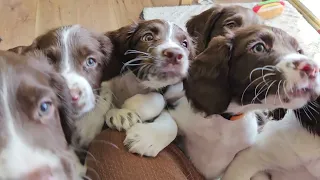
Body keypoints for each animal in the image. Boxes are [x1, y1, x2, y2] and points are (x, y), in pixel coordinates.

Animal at [102, 18, 195, 156]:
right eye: (148, 37)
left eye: (184, 44)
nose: (175, 54)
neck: (139, 84)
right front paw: (121, 113)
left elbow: (165, 108)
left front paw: (145, 138)